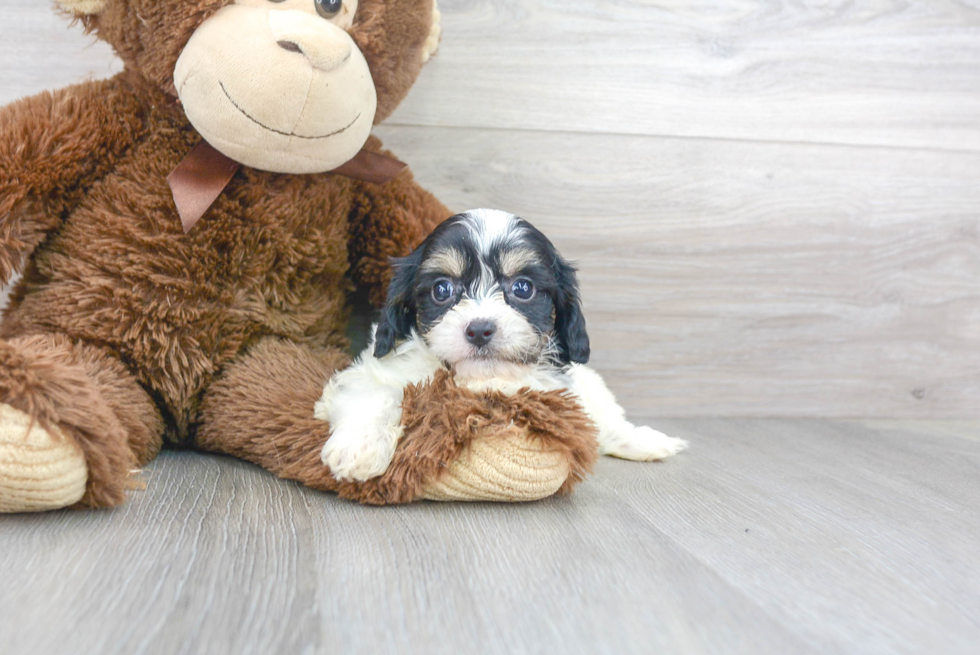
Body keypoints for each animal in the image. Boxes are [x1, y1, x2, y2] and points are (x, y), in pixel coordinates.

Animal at [316, 210, 688, 482]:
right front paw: (358, 449)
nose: (480, 330)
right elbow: (374, 394)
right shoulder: (373, 371)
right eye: (442, 289)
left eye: (523, 288)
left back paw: (644, 440)